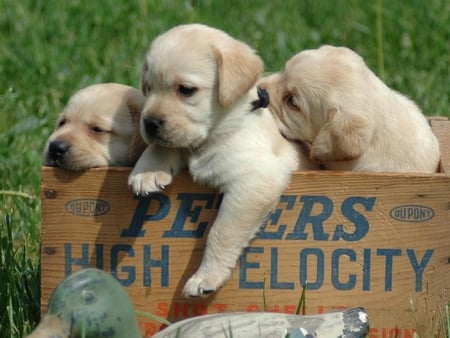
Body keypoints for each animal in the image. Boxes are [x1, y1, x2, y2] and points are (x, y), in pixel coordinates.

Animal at [126, 23, 316, 298]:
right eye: (149, 88)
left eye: (186, 90)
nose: (149, 123)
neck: (214, 135)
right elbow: (162, 146)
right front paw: (147, 171)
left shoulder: (255, 182)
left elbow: (221, 231)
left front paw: (207, 276)